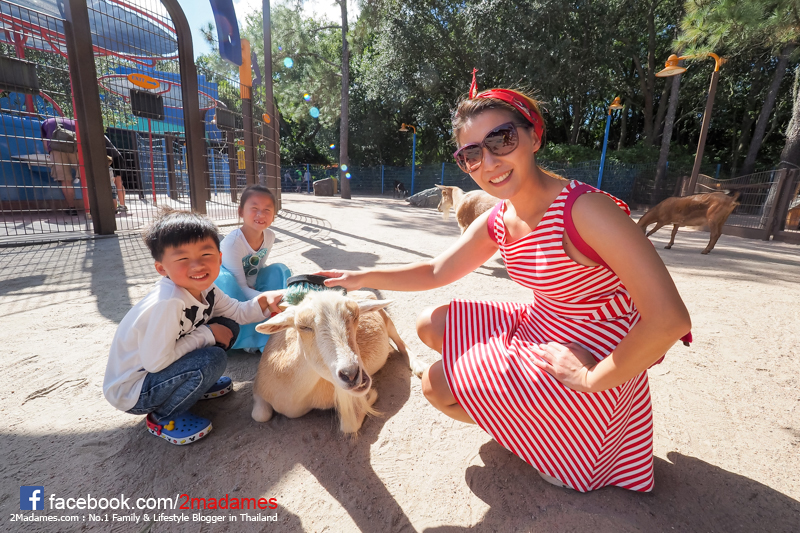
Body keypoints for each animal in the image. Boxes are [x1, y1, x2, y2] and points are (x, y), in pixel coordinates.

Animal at [252, 290, 427, 434]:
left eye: (355, 316)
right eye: (303, 326)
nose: (351, 374)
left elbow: (349, 426)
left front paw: (371, 394)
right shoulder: (259, 389)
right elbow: (260, 415)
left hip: (387, 318)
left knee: (400, 341)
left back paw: (420, 366)